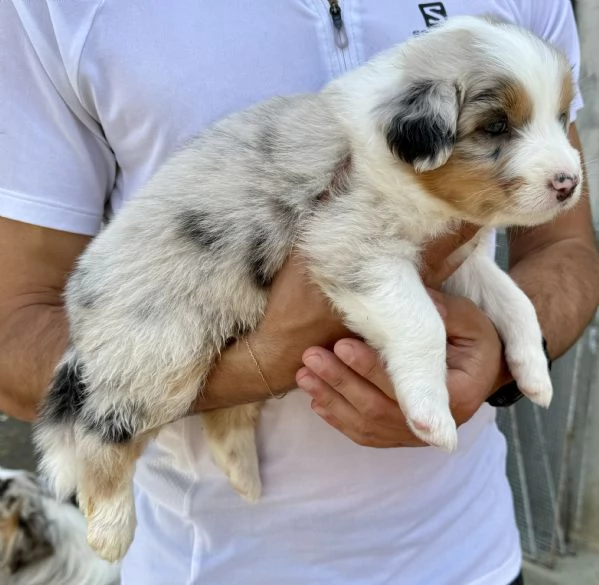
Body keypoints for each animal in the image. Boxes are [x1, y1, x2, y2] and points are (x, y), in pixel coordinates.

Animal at [31, 16, 580, 560]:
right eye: (496, 126)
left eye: (560, 116)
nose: (570, 183)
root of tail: (81, 300)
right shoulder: (353, 243)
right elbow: (423, 325)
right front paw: (431, 416)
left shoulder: (452, 257)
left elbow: (515, 301)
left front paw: (535, 375)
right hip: (160, 350)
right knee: (100, 432)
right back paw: (110, 527)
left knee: (222, 415)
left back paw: (244, 475)